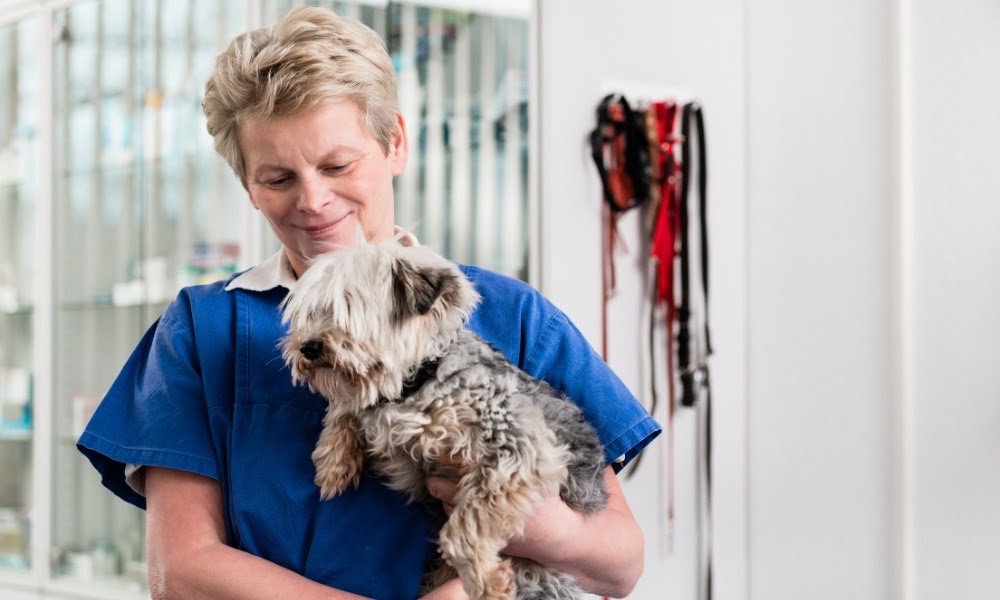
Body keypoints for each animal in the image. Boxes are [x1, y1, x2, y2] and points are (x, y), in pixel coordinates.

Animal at [282, 239, 608, 600]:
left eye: (349, 308)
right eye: (312, 312)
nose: (307, 347)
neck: (417, 382)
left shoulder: (520, 445)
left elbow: (466, 524)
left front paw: (486, 580)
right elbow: (347, 405)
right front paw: (334, 461)